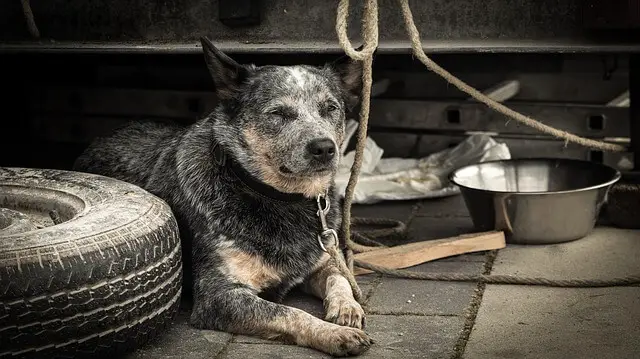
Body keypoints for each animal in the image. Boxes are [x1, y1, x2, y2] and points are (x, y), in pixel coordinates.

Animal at [74, 37, 376, 358]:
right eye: (278, 114)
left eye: (330, 108)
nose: (324, 148)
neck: (279, 198)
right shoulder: (218, 296)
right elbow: (289, 313)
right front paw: (335, 334)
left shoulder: (323, 258)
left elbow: (339, 277)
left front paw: (347, 308)